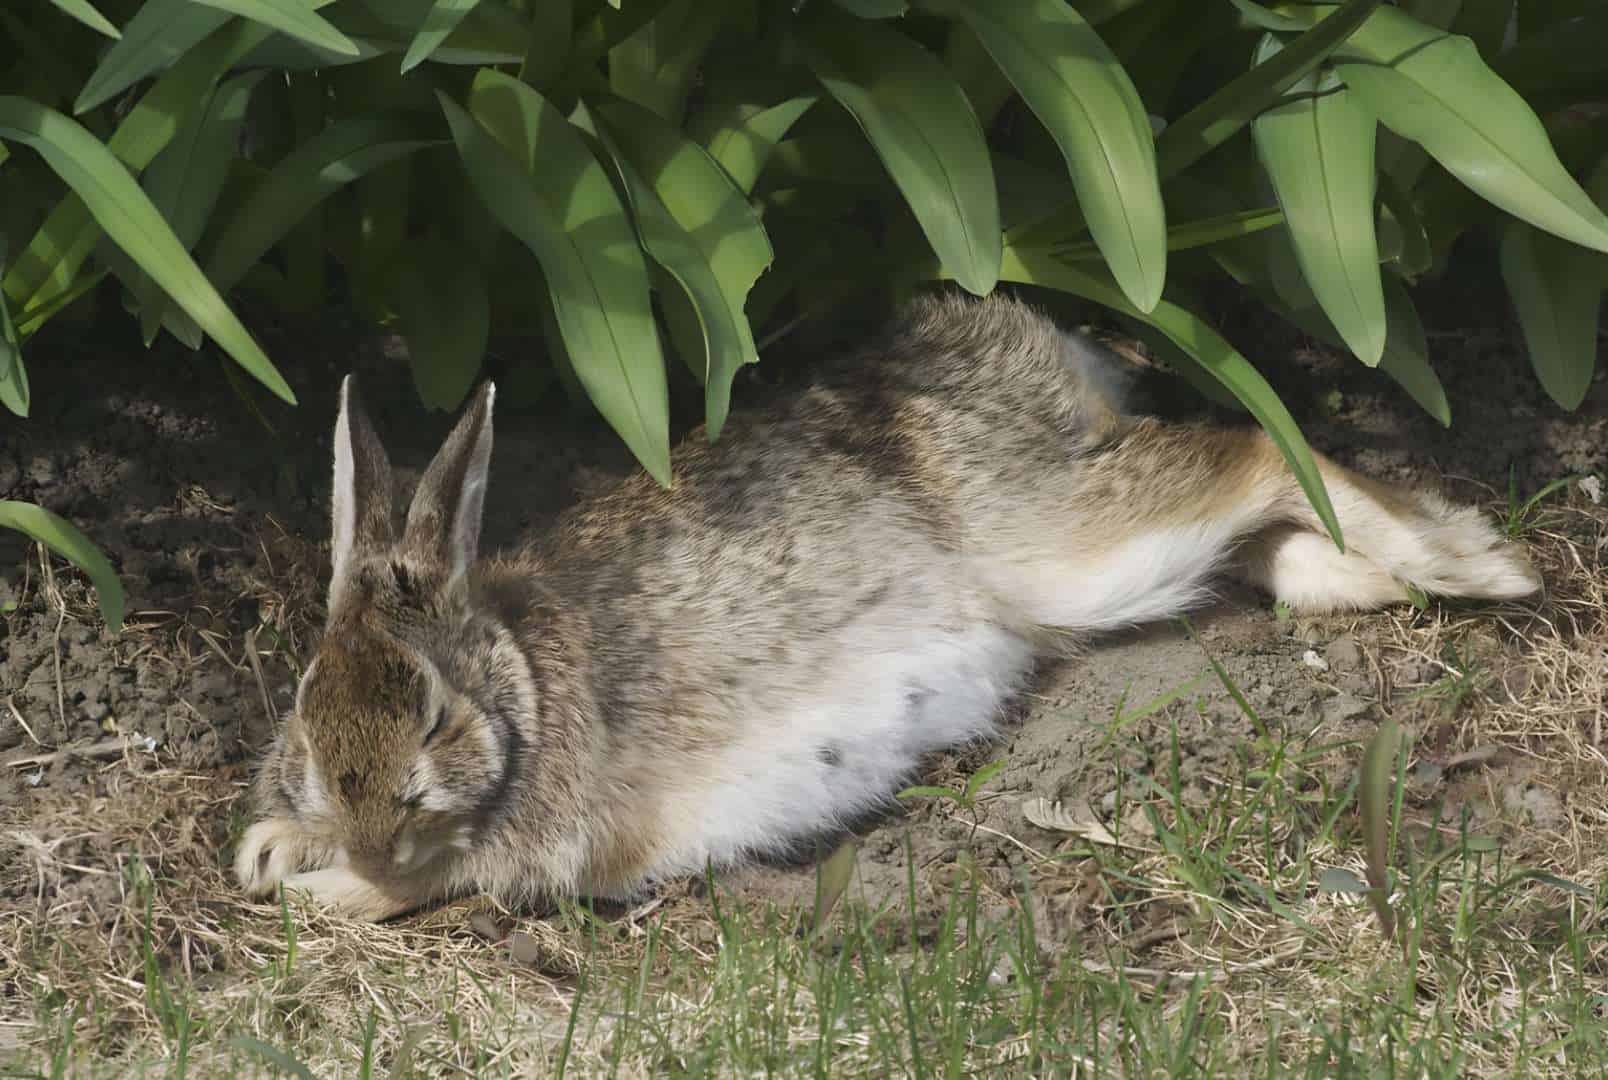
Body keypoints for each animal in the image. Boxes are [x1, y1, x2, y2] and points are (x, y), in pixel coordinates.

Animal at [233, 292, 1537, 919]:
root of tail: (979, 331)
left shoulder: (534, 838)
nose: (366, 822)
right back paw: (1381, 572)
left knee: (1256, 450)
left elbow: (399, 894)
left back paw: (1476, 562)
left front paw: (314, 884)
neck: (523, 693)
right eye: (301, 703)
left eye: (435, 715)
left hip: (1066, 543)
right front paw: (277, 845)